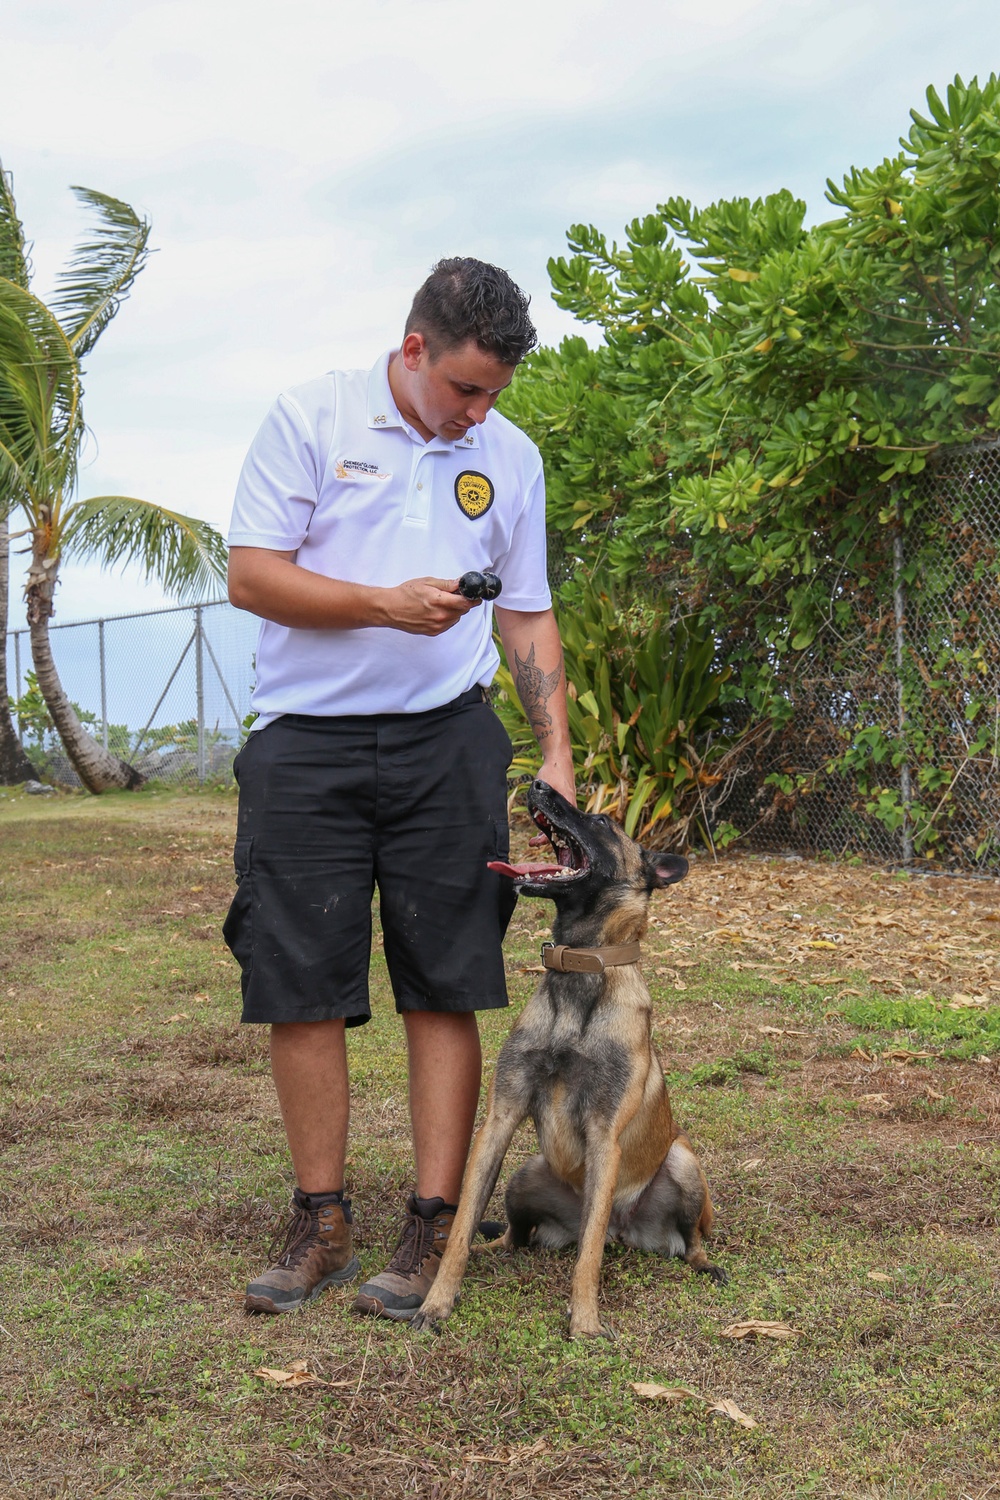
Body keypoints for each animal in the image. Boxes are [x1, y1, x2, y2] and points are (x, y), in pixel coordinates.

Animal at [410, 780, 722, 1344]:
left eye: (600, 821)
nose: (537, 783)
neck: (578, 974)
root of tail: (628, 1231)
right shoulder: (499, 1119)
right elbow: (461, 1225)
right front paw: (438, 1300)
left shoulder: (605, 1135)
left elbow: (589, 1253)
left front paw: (585, 1320)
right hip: (524, 1175)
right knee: (514, 1236)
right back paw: (494, 1249)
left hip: (684, 1163)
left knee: (678, 1240)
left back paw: (704, 1264)